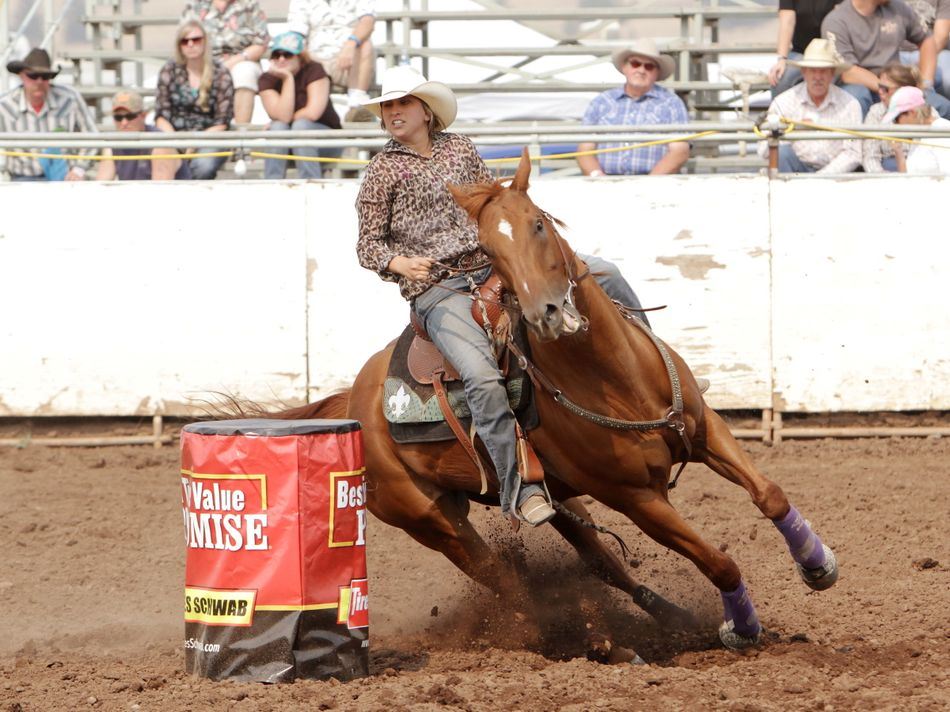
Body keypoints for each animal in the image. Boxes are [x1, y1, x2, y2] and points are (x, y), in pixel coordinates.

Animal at [270, 148, 839, 661]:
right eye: (489, 248)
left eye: (539, 224)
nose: (544, 313)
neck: (617, 378)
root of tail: (354, 397)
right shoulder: (636, 498)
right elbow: (718, 561)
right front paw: (741, 629)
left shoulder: (704, 431)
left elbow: (770, 495)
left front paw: (818, 566)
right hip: (431, 520)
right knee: (507, 582)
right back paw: (585, 641)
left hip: (556, 495)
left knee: (601, 561)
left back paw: (661, 623)